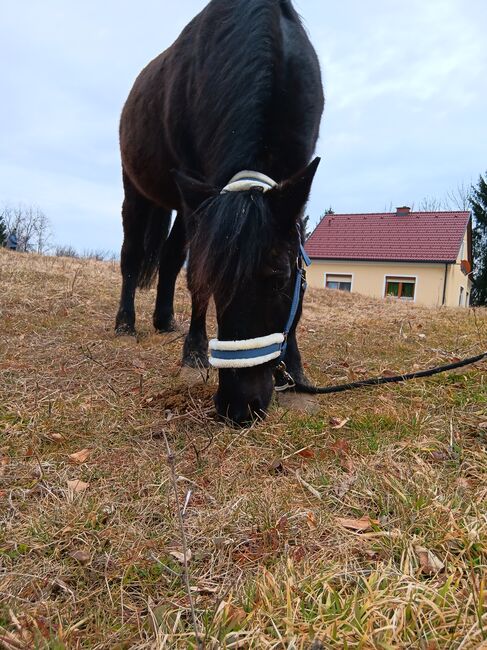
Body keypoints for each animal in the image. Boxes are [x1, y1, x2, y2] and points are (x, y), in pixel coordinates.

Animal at [116, 0, 326, 426]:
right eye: (217, 283)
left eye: (280, 279)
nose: (238, 405)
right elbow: (194, 273)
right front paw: (194, 352)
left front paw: (296, 369)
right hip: (139, 191)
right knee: (132, 256)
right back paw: (126, 325)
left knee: (169, 256)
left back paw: (164, 321)